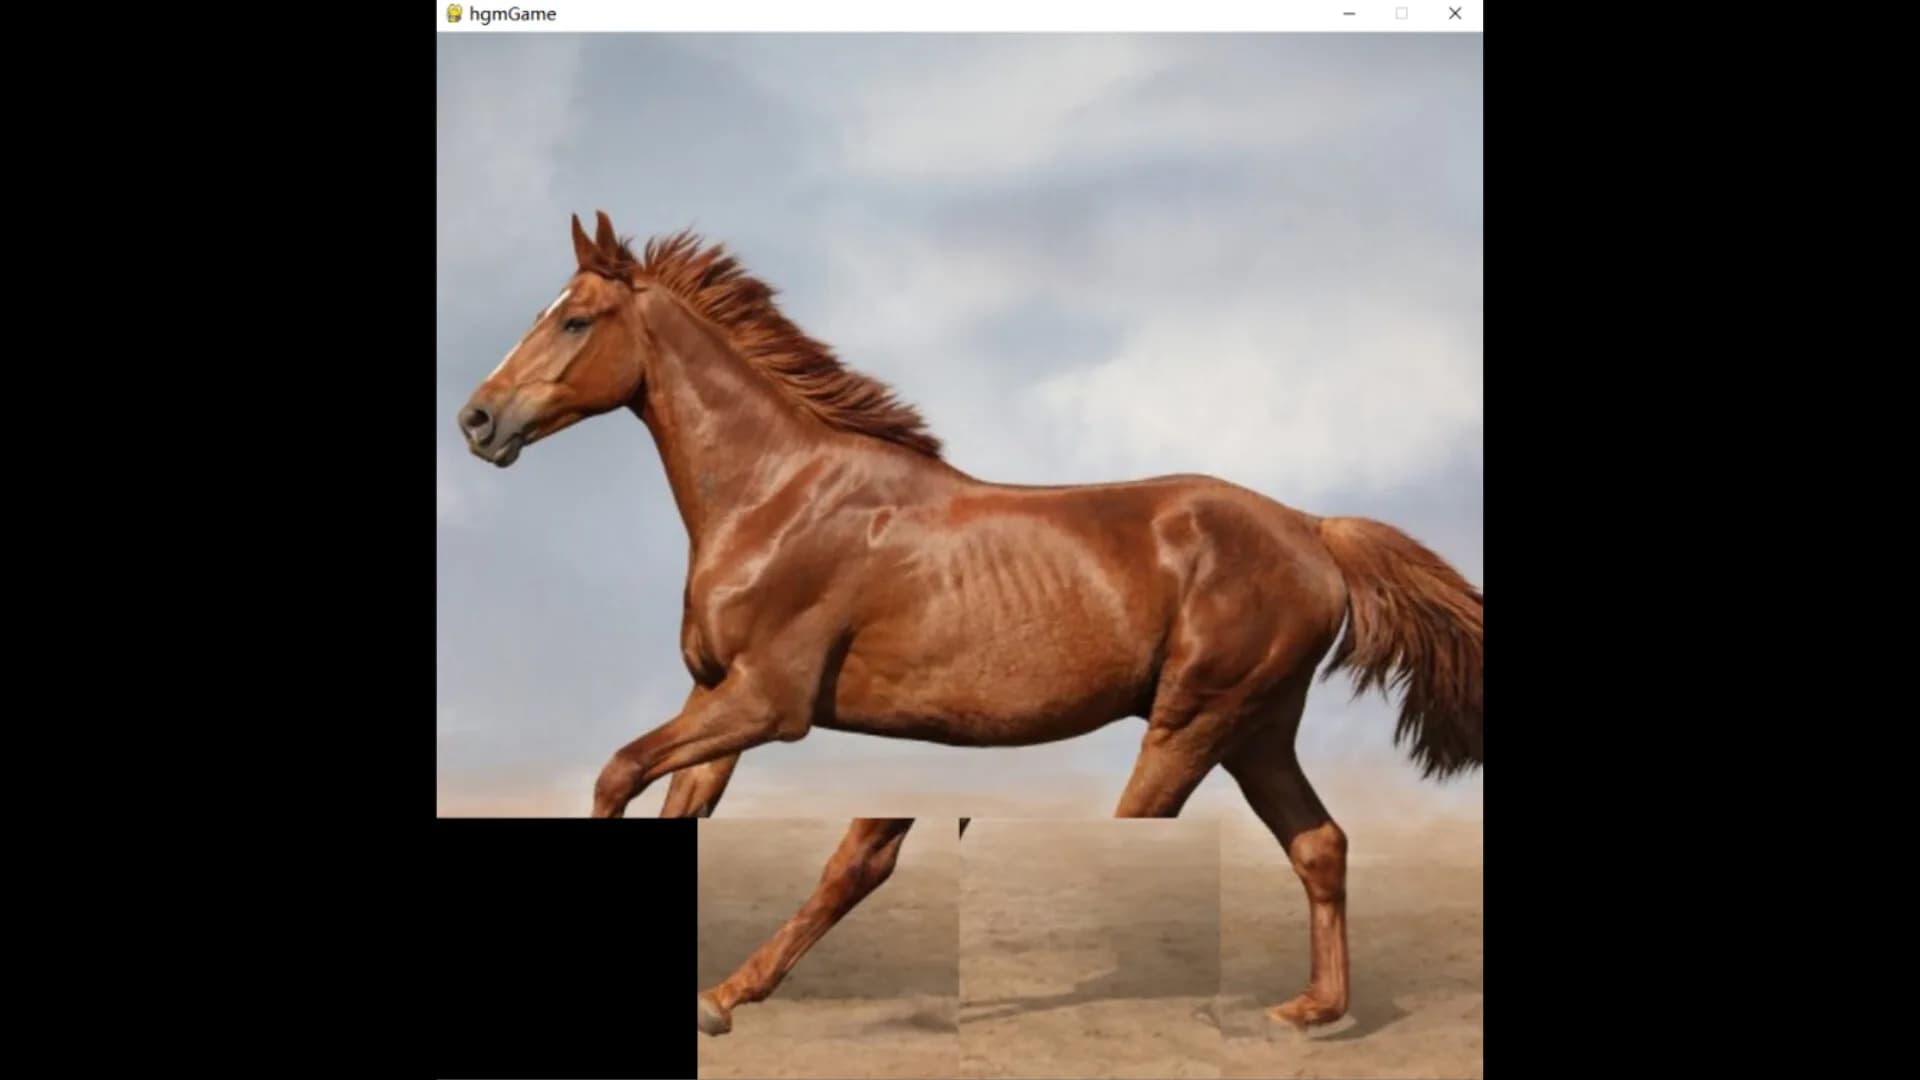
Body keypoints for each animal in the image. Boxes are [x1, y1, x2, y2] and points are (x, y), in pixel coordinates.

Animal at [455, 211, 1484, 1038]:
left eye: (574, 319)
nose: (477, 420)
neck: (777, 496)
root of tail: (1313, 529)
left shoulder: (767, 703)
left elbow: (619, 773)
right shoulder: (717, 695)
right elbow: (700, 814)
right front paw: (717, 999)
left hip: (1196, 722)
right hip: (1256, 729)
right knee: (1320, 845)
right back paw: (1311, 1011)